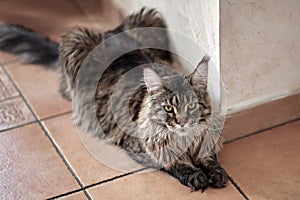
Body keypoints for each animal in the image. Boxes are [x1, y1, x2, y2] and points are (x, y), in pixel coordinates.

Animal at [0, 7, 227, 191]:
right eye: (168, 108)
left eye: (192, 105)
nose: (182, 122)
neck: (186, 141)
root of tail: (107, 32)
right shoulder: (141, 149)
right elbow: (174, 162)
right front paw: (196, 175)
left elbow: (209, 157)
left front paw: (215, 172)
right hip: (75, 39)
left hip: (148, 17)